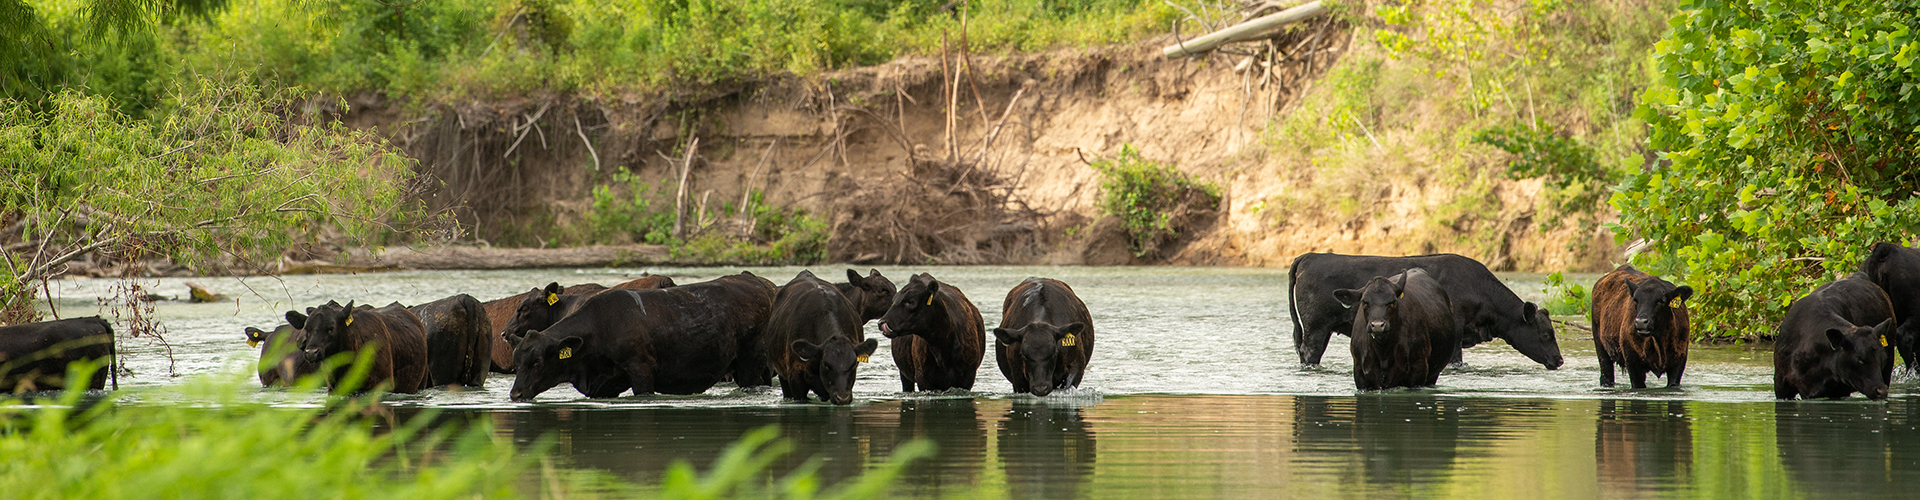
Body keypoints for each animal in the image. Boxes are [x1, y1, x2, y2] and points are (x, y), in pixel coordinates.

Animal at [514, 271, 783, 400]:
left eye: (536, 362)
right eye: (517, 362)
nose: (515, 394)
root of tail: (754, 282)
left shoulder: (641, 370)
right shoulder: (604, 385)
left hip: (751, 363)